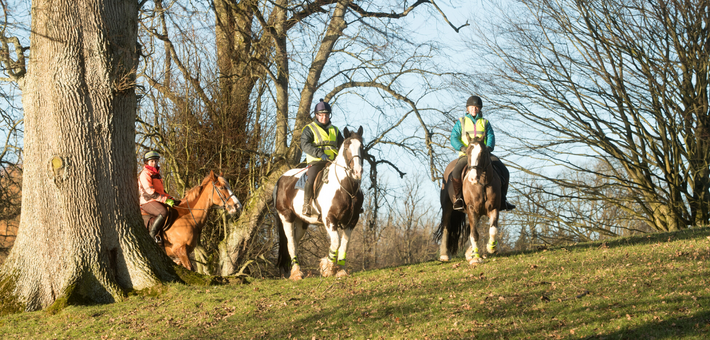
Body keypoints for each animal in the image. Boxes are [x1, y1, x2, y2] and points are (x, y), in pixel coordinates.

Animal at [274, 126, 368, 280]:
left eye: (362, 147)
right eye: (347, 147)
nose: (357, 171)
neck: (346, 188)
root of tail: (281, 179)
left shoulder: (351, 221)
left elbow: (344, 245)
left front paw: (340, 270)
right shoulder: (329, 219)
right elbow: (335, 242)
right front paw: (327, 268)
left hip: (302, 222)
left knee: (294, 241)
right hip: (286, 217)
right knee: (290, 243)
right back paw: (296, 273)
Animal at [434, 134, 506, 264]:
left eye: (483, 152)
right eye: (467, 152)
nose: (472, 178)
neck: (482, 184)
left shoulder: (494, 208)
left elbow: (493, 230)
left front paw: (492, 247)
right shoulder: (472, 209)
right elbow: (474, 234)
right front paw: (476, 258)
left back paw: (469, 252)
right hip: (447, 206)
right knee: (447, 226)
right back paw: (445, 255)